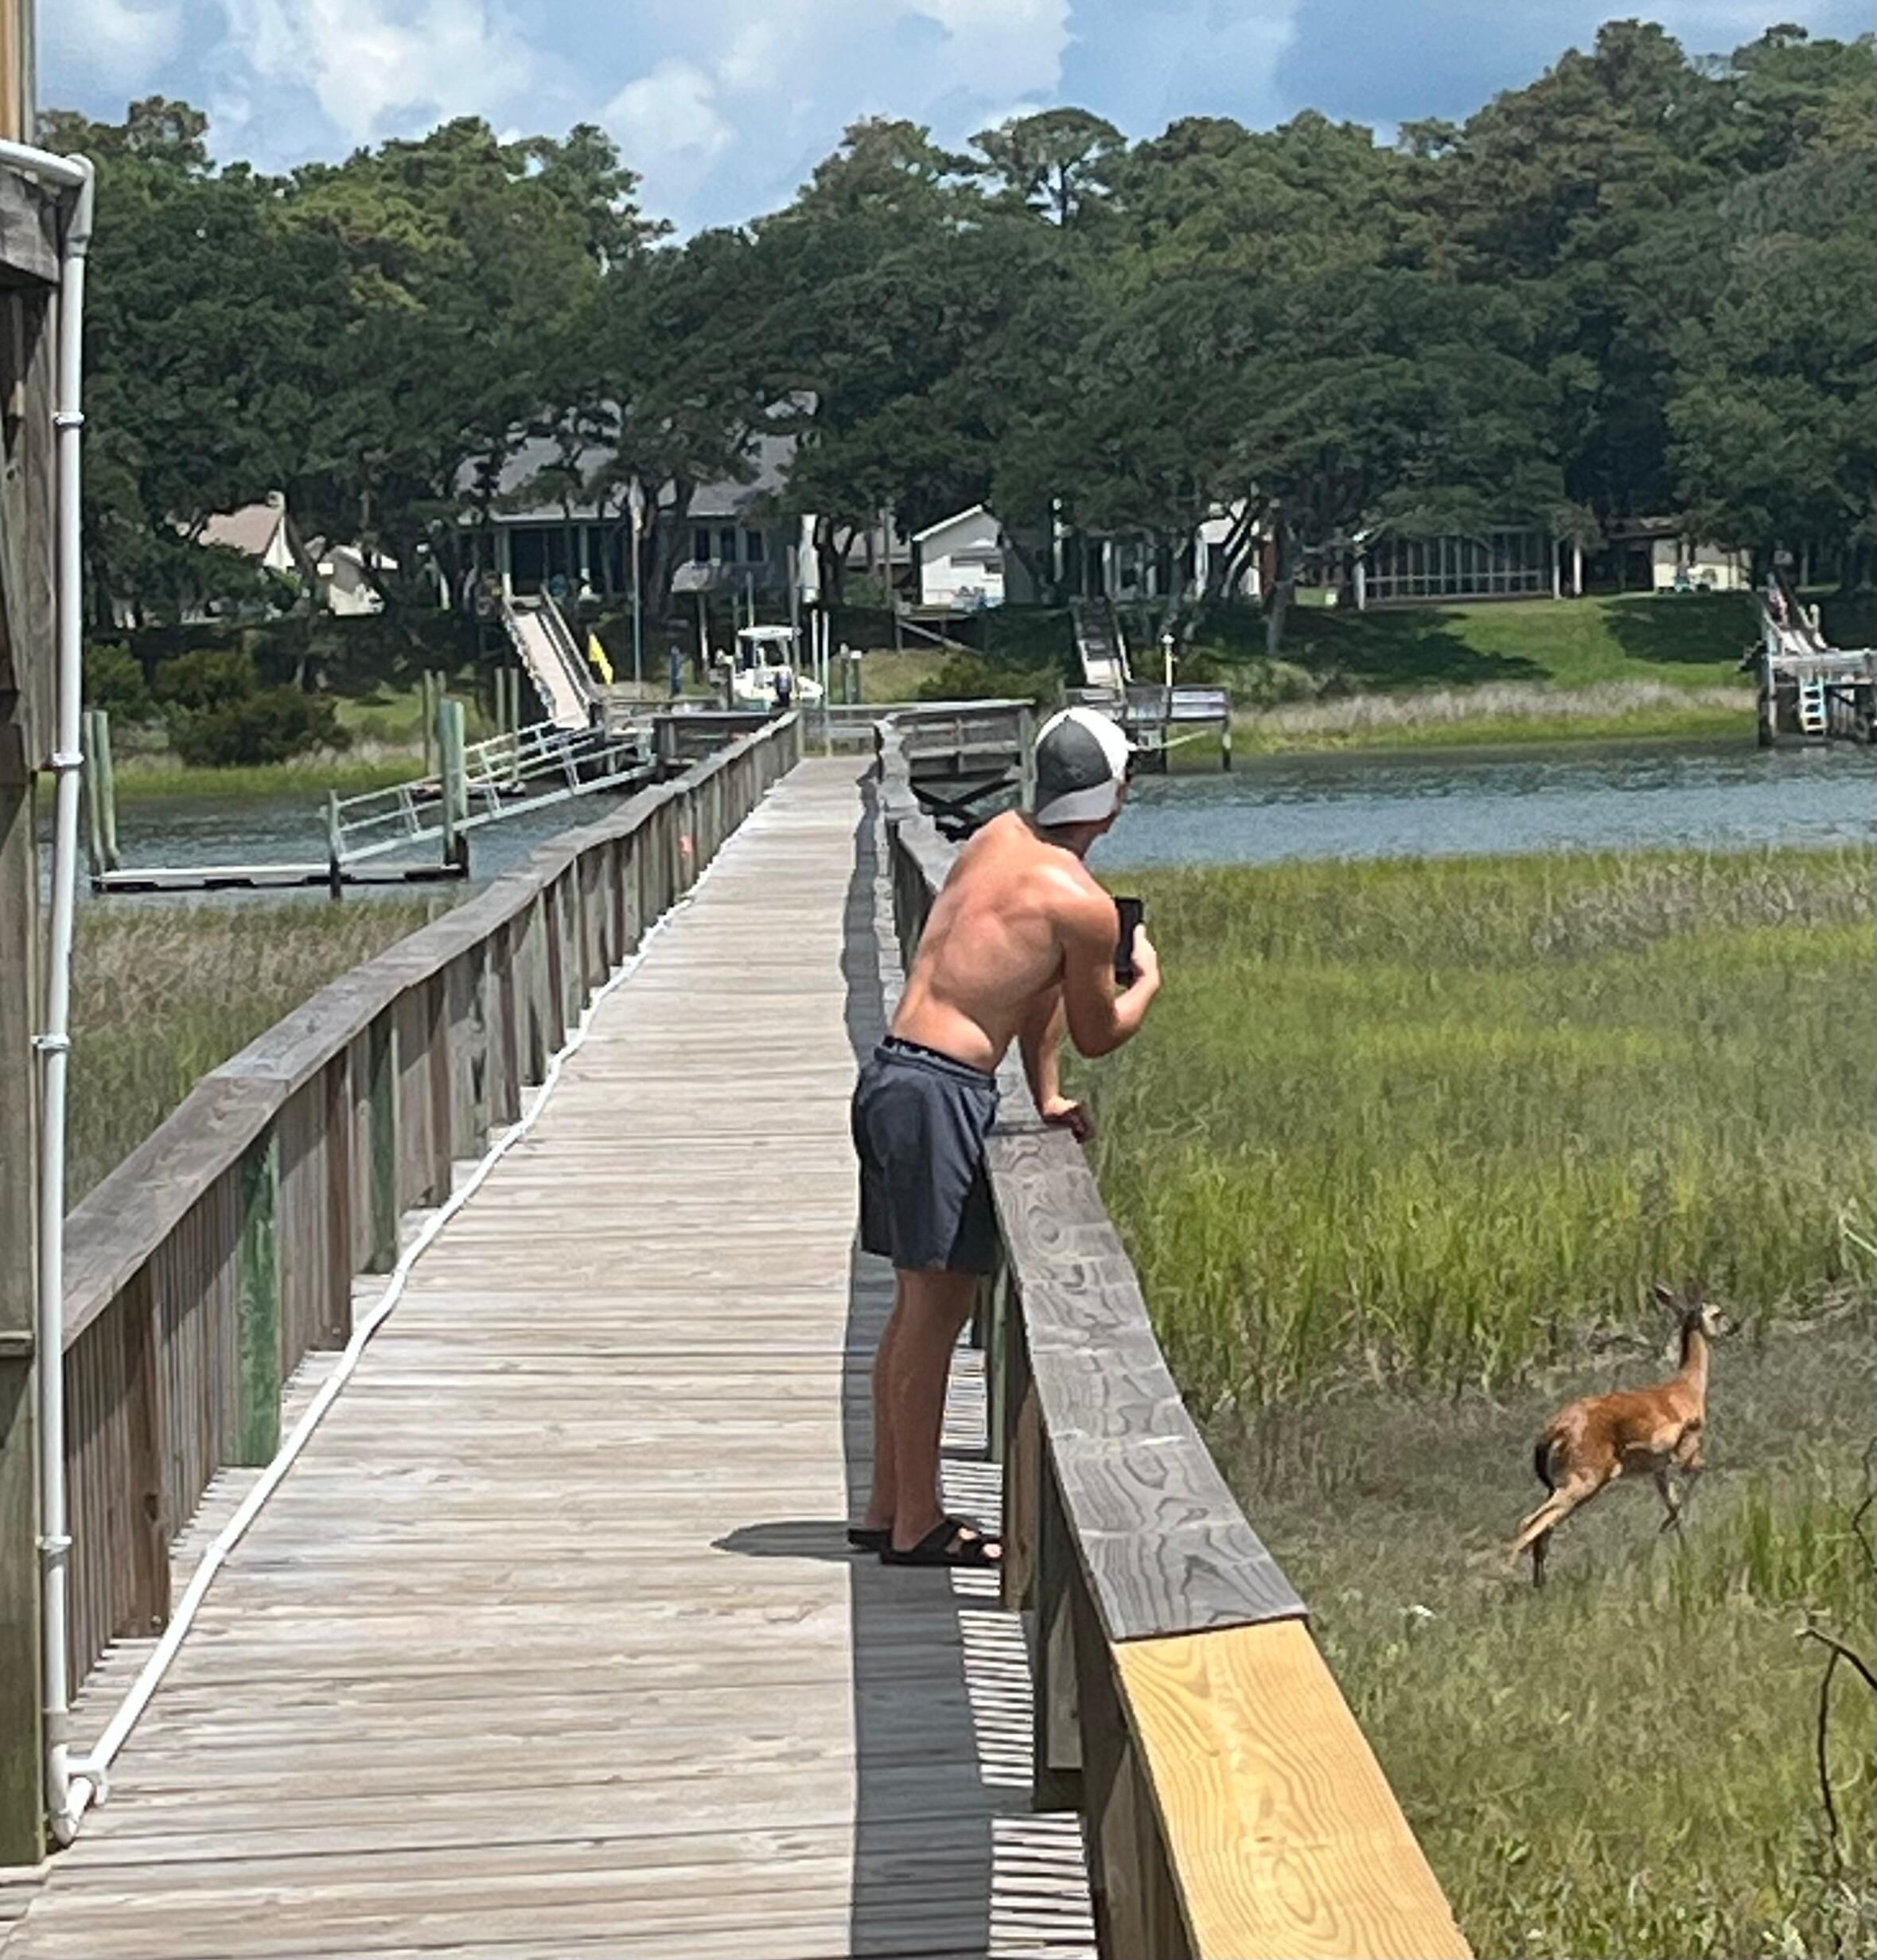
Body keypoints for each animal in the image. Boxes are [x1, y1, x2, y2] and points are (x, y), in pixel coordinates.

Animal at [1511, 1283, 1735, 1588]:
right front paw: (1669, 1531)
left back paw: (1539, 1586)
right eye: (1717, 1312)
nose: (1736, 1325)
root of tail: (1553, 1430)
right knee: (1530, 1524)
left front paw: (1681, 1547)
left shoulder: (1659, 1468)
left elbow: (1672, 1504)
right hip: (1583, 1482)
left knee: (1544, 1528)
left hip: (1565, 1486)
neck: (1687, 1389)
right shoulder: (1685, 1453)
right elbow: (1699, 1473)